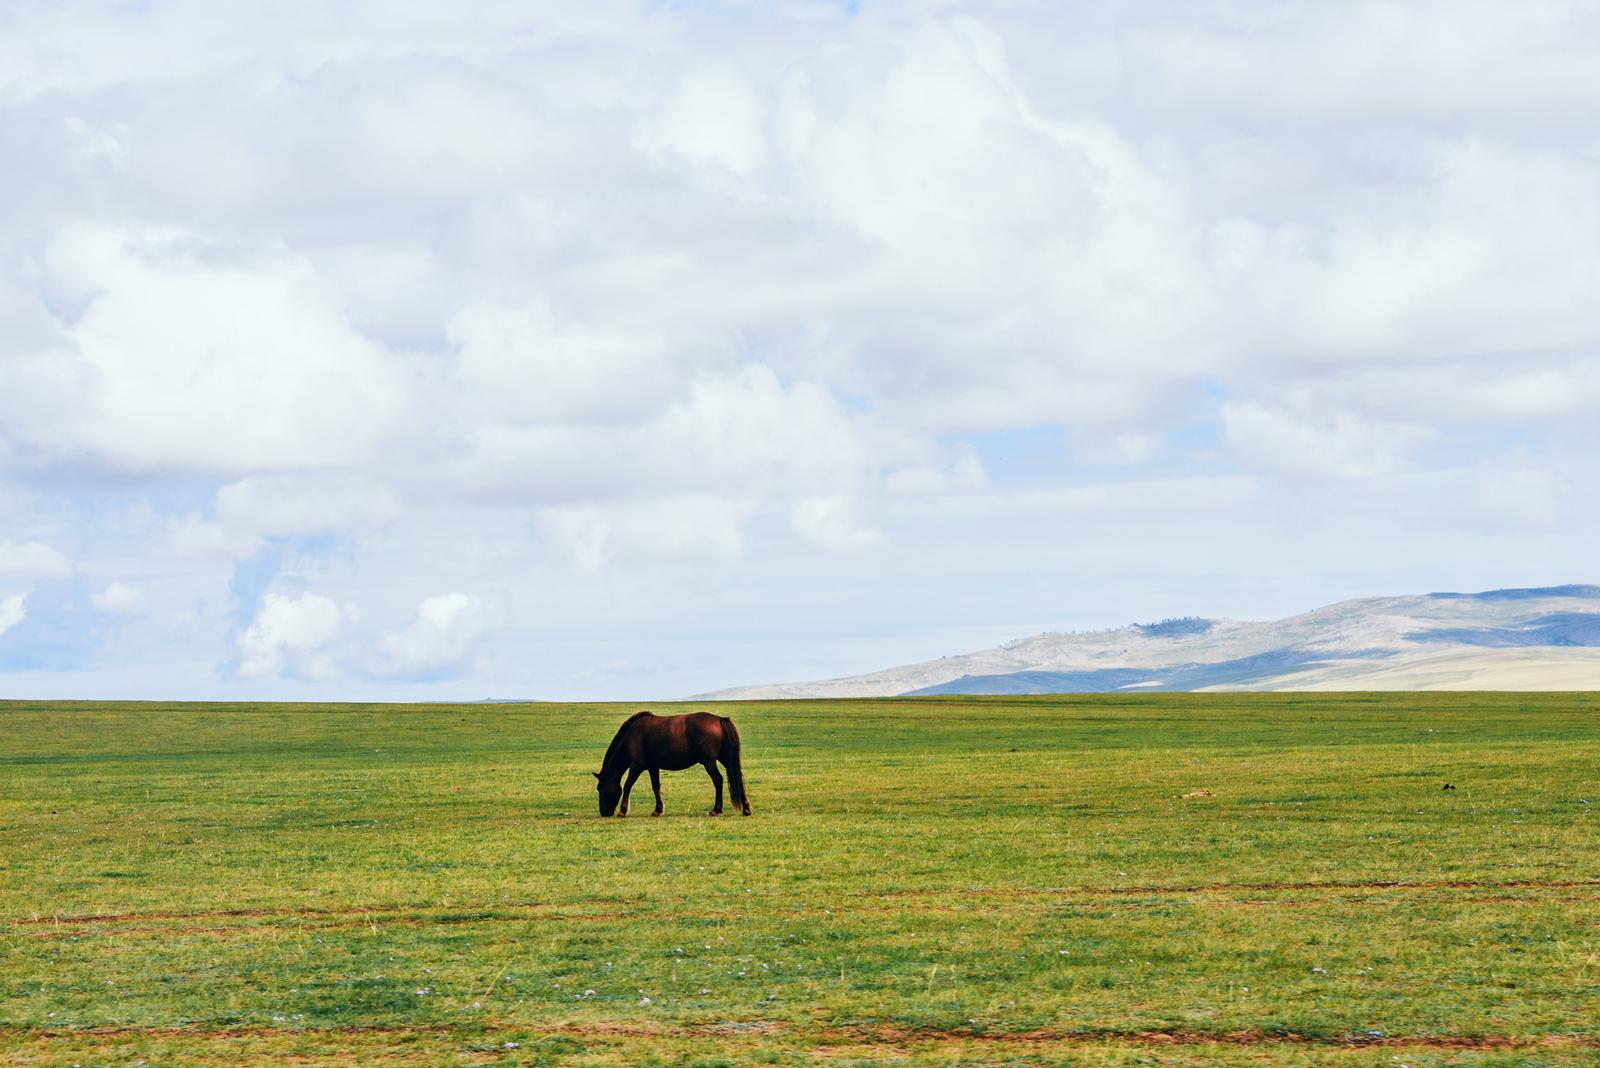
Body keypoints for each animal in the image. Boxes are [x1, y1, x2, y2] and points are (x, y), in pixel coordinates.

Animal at [598, 709, 752, 818]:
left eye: (600, 788)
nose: (604, 812)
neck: (632, 736)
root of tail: (720, 719)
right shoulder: (653, 767)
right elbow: (656, 786)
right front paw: (658, 810)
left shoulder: (637, 766)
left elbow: (627, 785)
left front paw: (623, 811)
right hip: (725, 759)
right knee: (737, 777)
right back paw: (746, 808)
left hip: (709, 762)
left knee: (718, 780)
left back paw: (716, 810)